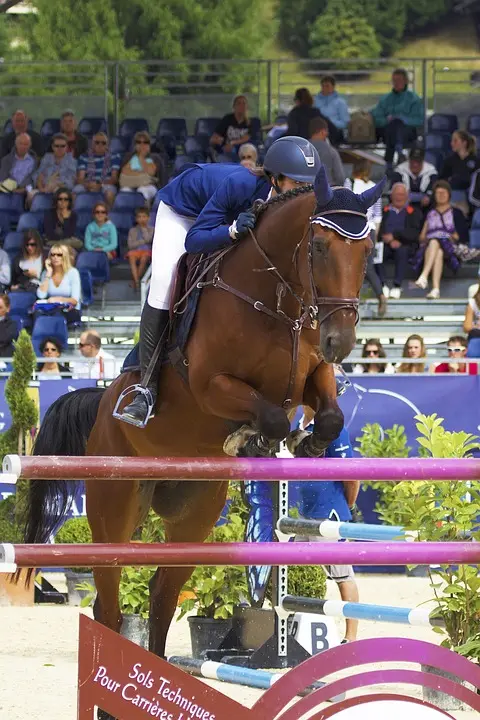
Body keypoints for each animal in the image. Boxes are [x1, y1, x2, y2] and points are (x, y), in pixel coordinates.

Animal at [24, 166, 382, 668]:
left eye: (366, 251)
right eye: (317, 246)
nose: (342, 341)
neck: (276, 299)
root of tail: (103, 406)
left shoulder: (313, 373)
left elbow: (327, 415)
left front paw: (306, 443)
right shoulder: (211, 385)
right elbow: (269, 415)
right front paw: (253, 440)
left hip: (194, 515)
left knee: (161, 593)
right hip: (115, 509)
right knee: (109, 602)